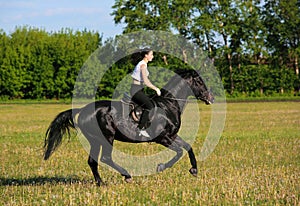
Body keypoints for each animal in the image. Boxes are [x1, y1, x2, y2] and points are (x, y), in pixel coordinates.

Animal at [43, 69, 214, 185]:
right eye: (199, 82)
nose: (211, 98)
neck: (168, 105)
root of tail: (83, 110)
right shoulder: (162, 138)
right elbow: (179, 152)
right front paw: (160, 166)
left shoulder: (172, 136)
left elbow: (188, 147)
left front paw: (194, 170)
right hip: (107, 137)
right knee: (105, 158)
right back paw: (127, 176)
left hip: (95, 140)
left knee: (93, 161)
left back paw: (100, 183)